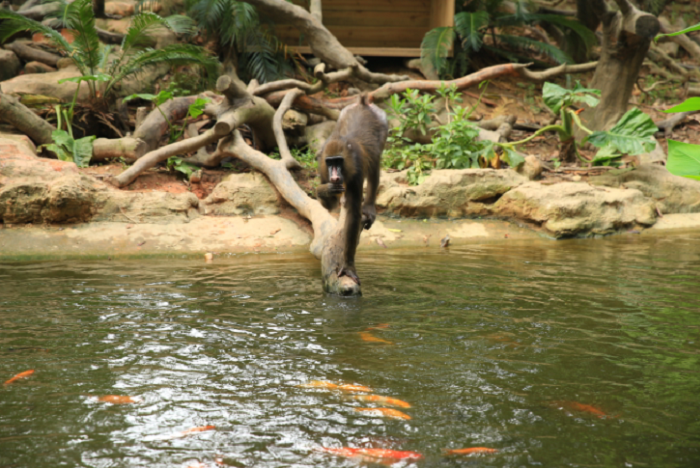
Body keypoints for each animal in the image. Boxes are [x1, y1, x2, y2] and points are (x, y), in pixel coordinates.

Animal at [318, 94, 388, 286]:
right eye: (330, 162)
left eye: (339, 161)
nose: (335, 176)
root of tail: (363, 104)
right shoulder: (322, 168)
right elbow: (328, 206)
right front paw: (325, 190)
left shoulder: (356, 172)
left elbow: (353, 215)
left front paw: (348, 267)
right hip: (343, 114)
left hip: (383, 126)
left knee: (374, 166)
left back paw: (369, 208)